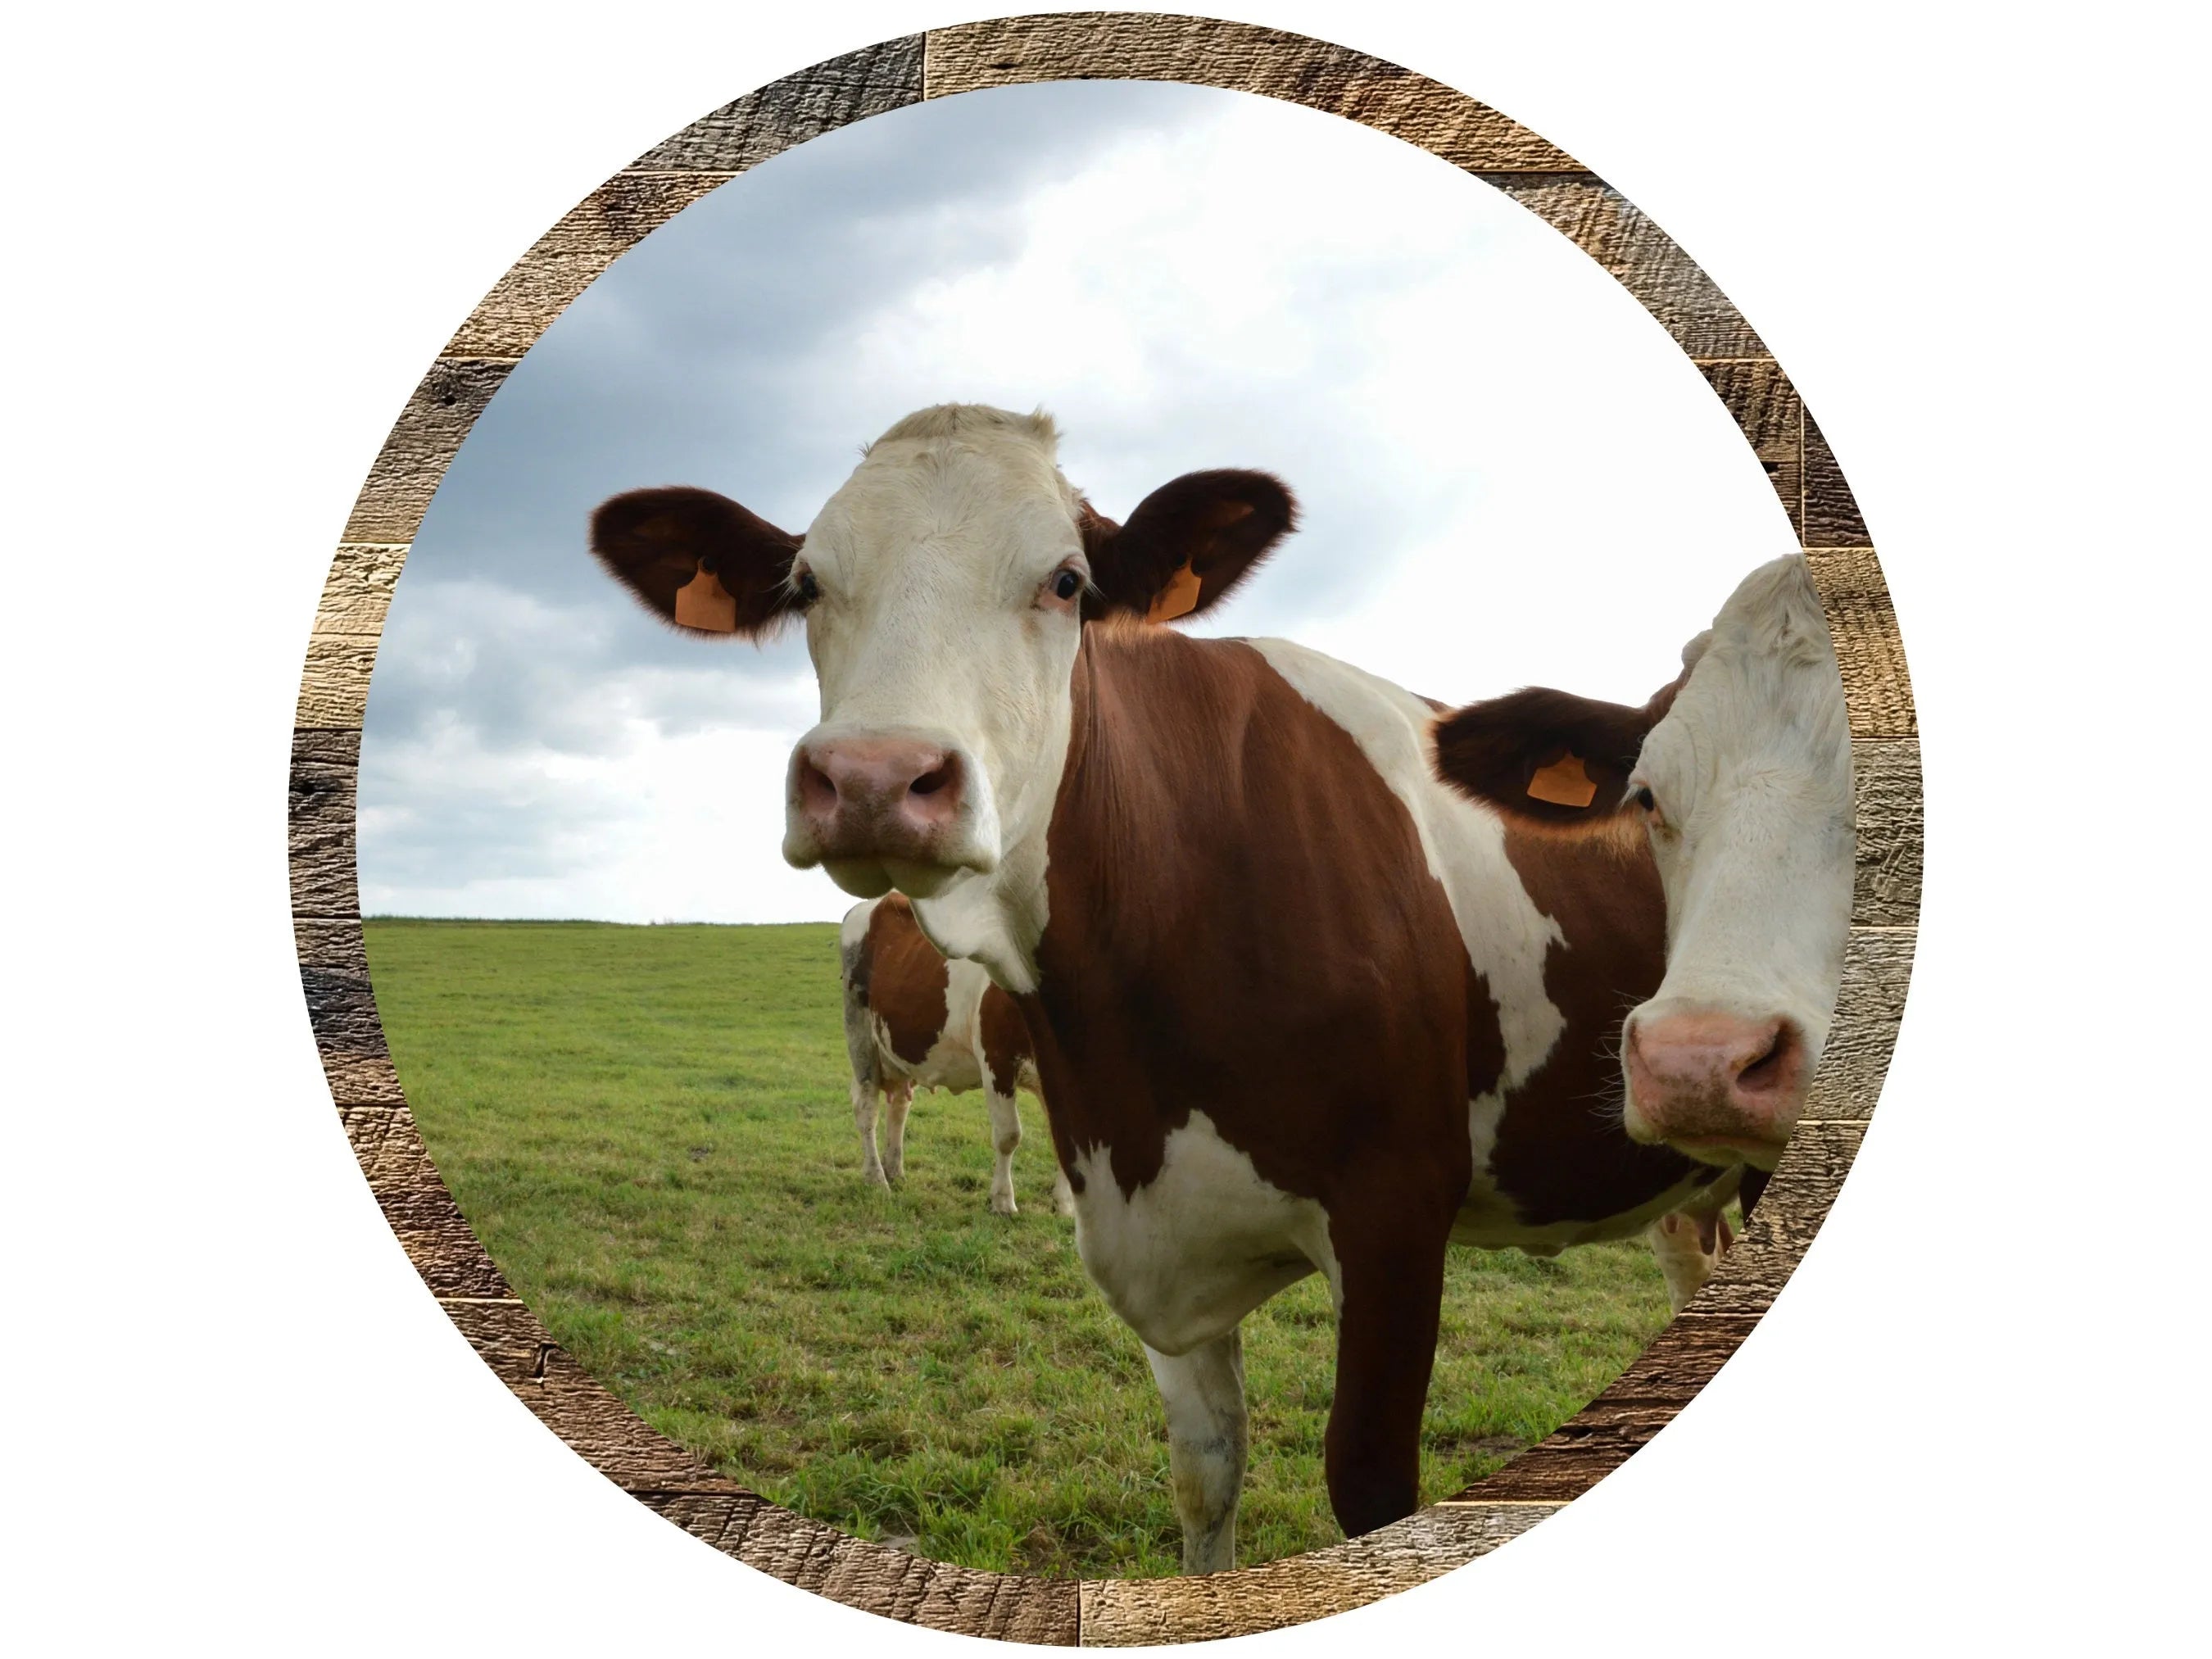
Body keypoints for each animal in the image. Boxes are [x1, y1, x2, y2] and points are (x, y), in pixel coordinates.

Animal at [840, 891, 1073, 1218]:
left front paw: (1064, 1205)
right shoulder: (997, 1059)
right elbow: (1008, 1136)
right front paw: (1003, 1201)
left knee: (898, 1105)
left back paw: (894, 1170)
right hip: (860, 1036)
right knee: (866, 1107)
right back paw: (876, 1179)